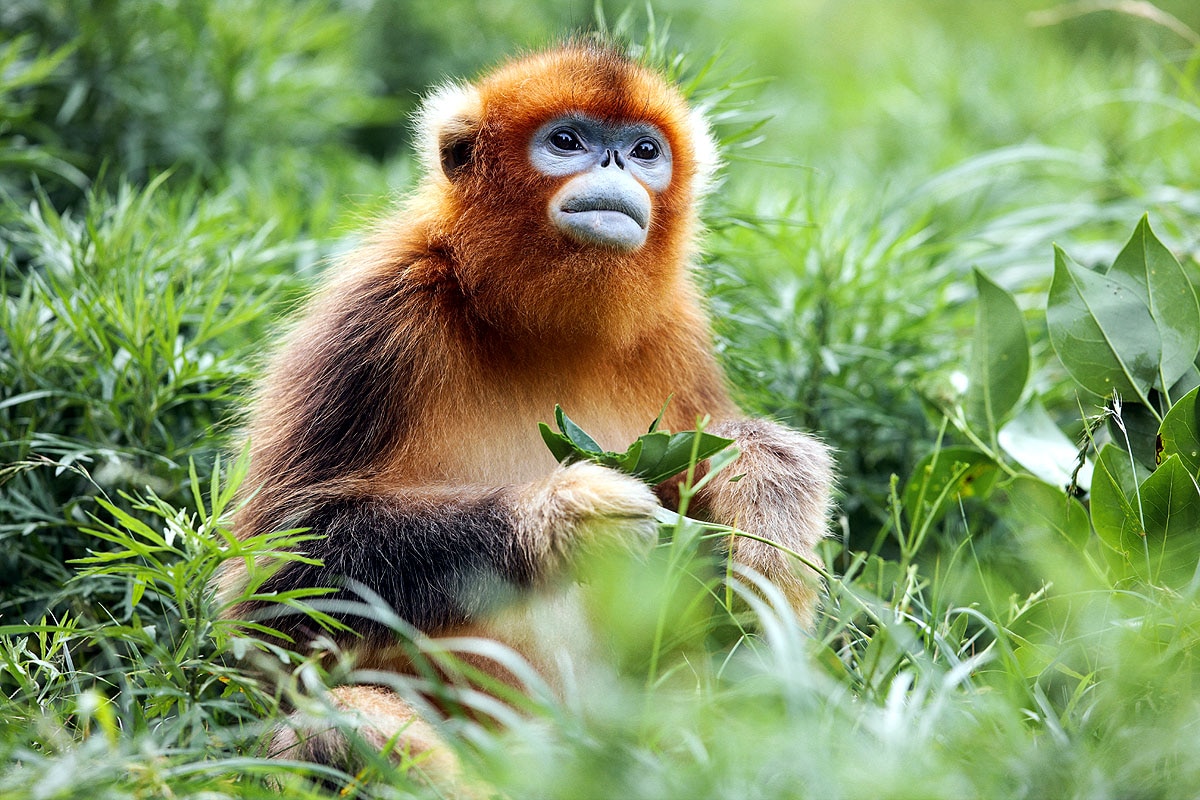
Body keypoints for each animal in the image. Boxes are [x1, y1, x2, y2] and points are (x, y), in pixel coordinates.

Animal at [216, 41, 833, 789]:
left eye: (645, 149)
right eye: (566, 142)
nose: (614, 165)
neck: (542, 333)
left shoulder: (678, 332)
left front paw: (770, 489)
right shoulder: (380, 317)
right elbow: (273, 586)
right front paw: (566, 517)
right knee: (337, 725)